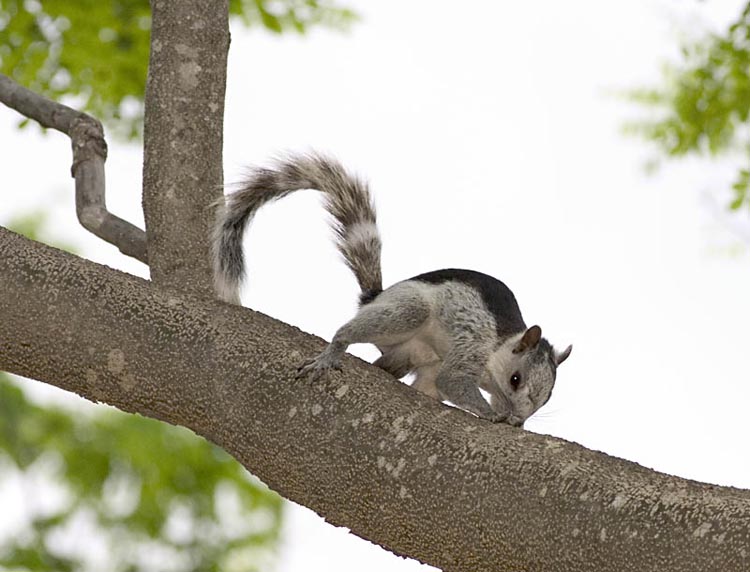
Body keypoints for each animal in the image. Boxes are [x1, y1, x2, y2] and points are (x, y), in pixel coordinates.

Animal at [212, 153, 572, 426]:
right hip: (407, 311)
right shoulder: (474, 341)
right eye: (516, 379)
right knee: (354, 330)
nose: (519, 420)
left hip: (412, 357)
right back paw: (334, 351)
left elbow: (443, 385)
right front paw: (491, 414)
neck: (499, 349)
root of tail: (375, 298)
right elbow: (453, 381)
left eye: (548, 396)